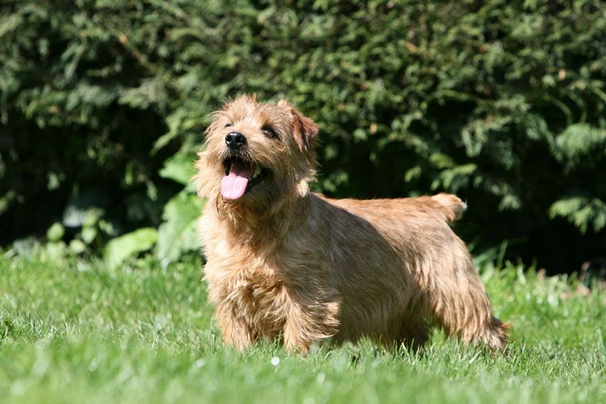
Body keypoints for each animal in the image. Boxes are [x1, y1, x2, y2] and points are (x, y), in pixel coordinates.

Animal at [197, 96, 510, 352]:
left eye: (269, 131)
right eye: (228, 124)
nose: (234, 138)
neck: (251, 226)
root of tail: (432, 204)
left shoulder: (306, 293)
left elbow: (300, 329)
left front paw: (294, 360)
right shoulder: (228, 292)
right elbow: (237, 332)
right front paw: (239, 358)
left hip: (455, 289)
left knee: (483, 324)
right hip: (399, 304)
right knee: (414, 335)